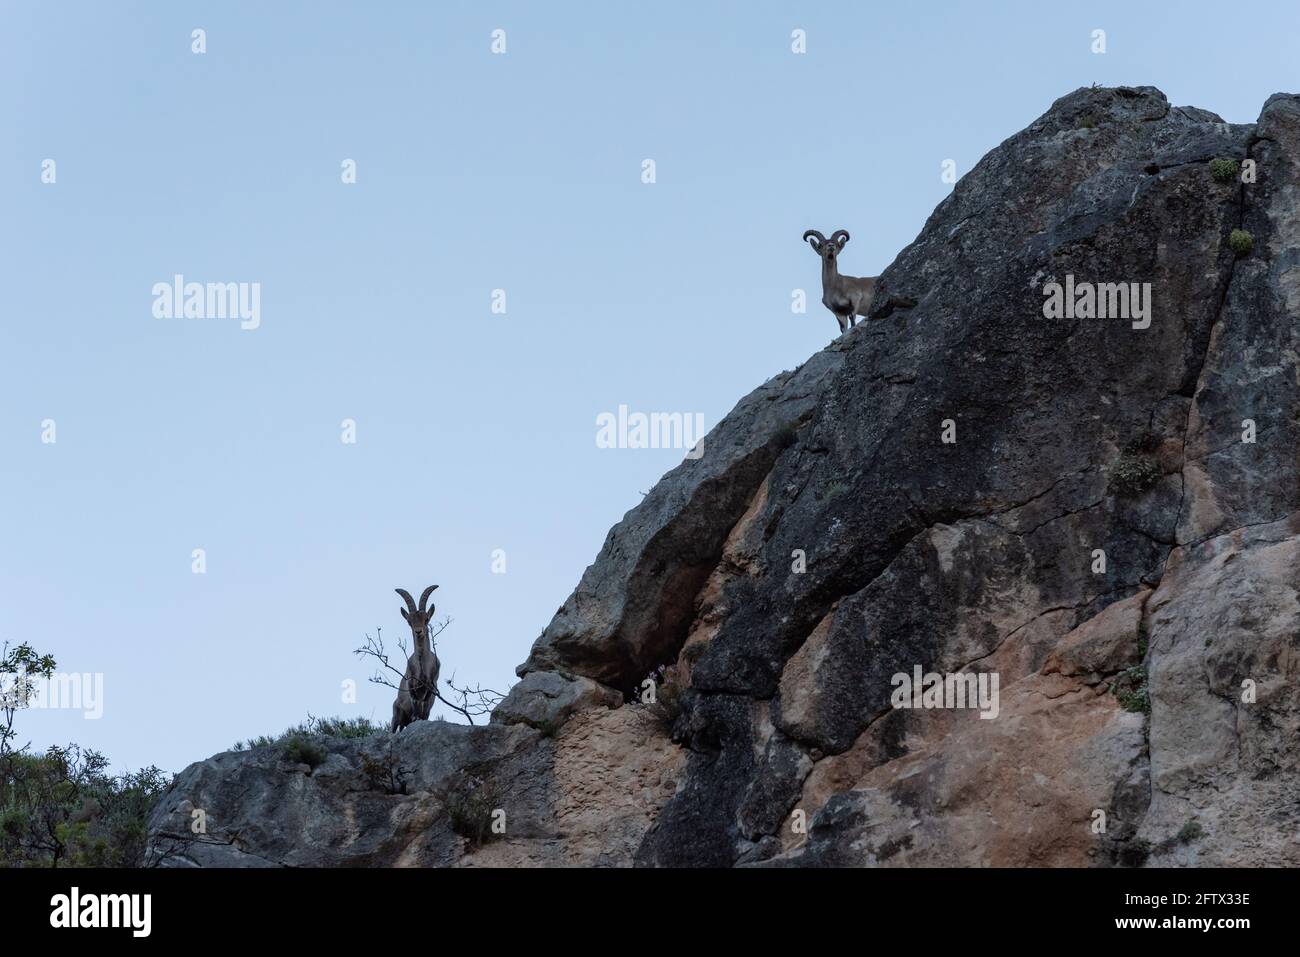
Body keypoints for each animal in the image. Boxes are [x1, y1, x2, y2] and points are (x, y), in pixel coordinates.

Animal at [389, 585, 441, 733]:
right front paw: (416, 718)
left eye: (427, 619)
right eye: (409, 621)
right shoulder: (411, 684)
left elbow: (425, 707)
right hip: (396, 715)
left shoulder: (432, 686)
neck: (422, 667)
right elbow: (416, 703)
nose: (418, 632)